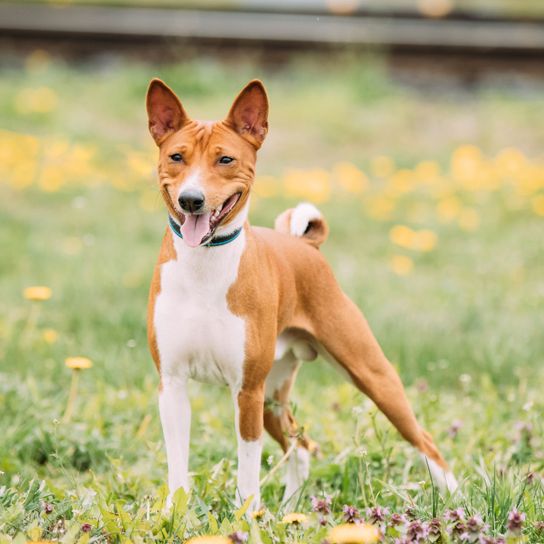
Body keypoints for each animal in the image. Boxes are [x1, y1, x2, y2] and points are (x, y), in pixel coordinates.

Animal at [146, 77, 460, 510]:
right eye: (177, 156)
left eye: (225, 160)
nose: (191, 200)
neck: (204, 268)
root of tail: (305, 246)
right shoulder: (173, 385)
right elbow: (178, 469)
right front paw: (176, 516)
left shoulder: (247, 391)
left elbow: (247, 473)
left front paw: (246, 517)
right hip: (274, 398)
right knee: (303, 447)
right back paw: (290, 510)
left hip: (369, 375)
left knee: (424, 440)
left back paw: (459, 502)